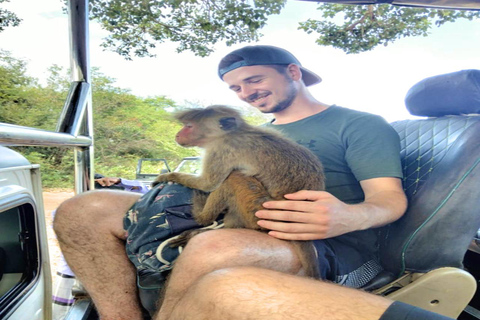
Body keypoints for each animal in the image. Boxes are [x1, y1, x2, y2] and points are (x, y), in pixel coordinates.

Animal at [155, 105, 326, 278]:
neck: (231, 133)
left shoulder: (221, 150)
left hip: (260, 211)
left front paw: (168, 176)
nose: (177, 134)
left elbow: (208, 183)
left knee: (233, 177)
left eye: (189, 126)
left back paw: (202, 216)